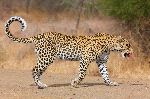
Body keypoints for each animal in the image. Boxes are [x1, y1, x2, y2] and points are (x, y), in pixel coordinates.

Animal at [4, 16, 132, 89]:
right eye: (128, 45)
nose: (132, 51)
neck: (109, 45)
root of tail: (39, 35)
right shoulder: (85, 59)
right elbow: (82, 74)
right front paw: (74, 83)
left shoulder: (101, 61)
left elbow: (105, 74)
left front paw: (111, 83)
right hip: (46, 58)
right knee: (34, 70)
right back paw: (39, 85)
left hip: (44, 59)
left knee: (38, 72)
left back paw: (41, 84)